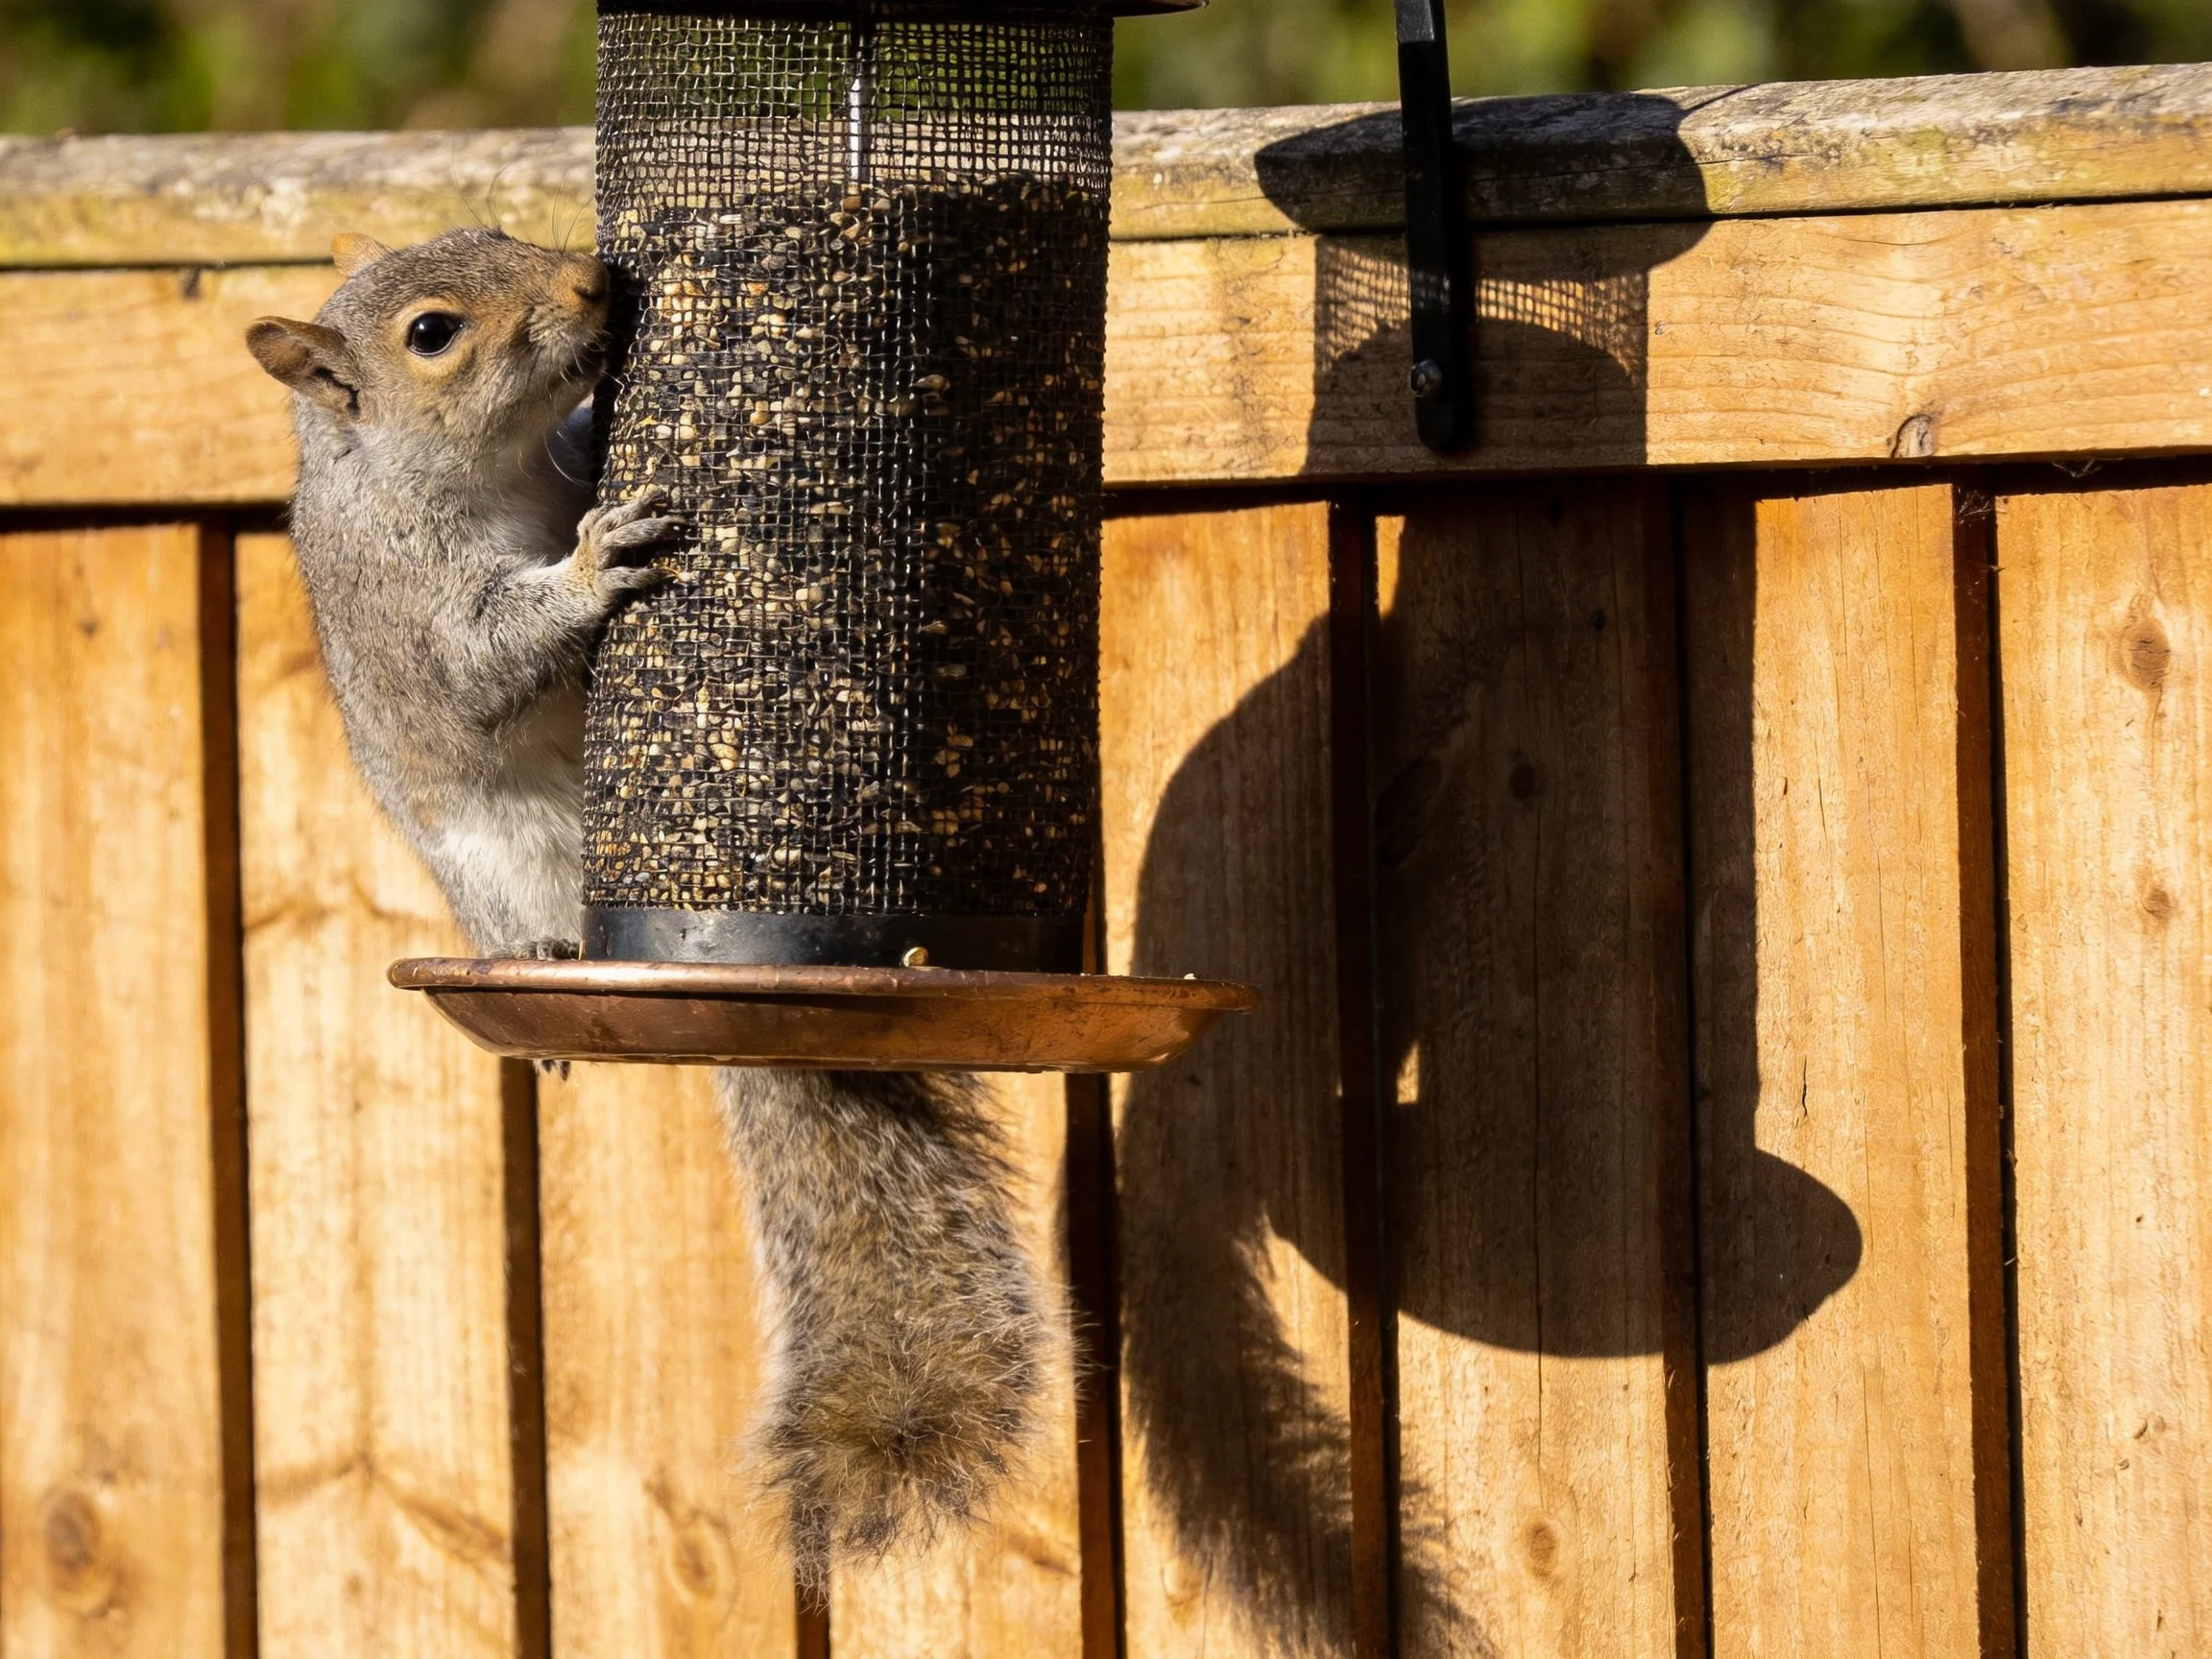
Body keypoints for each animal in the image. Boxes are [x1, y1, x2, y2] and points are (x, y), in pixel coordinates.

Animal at [246, 228, 1054, 1592]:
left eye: (505, 232)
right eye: (433, 333)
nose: (589, 282)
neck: (489, 474)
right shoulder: (414, 605)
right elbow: (482, 667)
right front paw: (593, 565)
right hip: (501, 875)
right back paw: (551, 953)